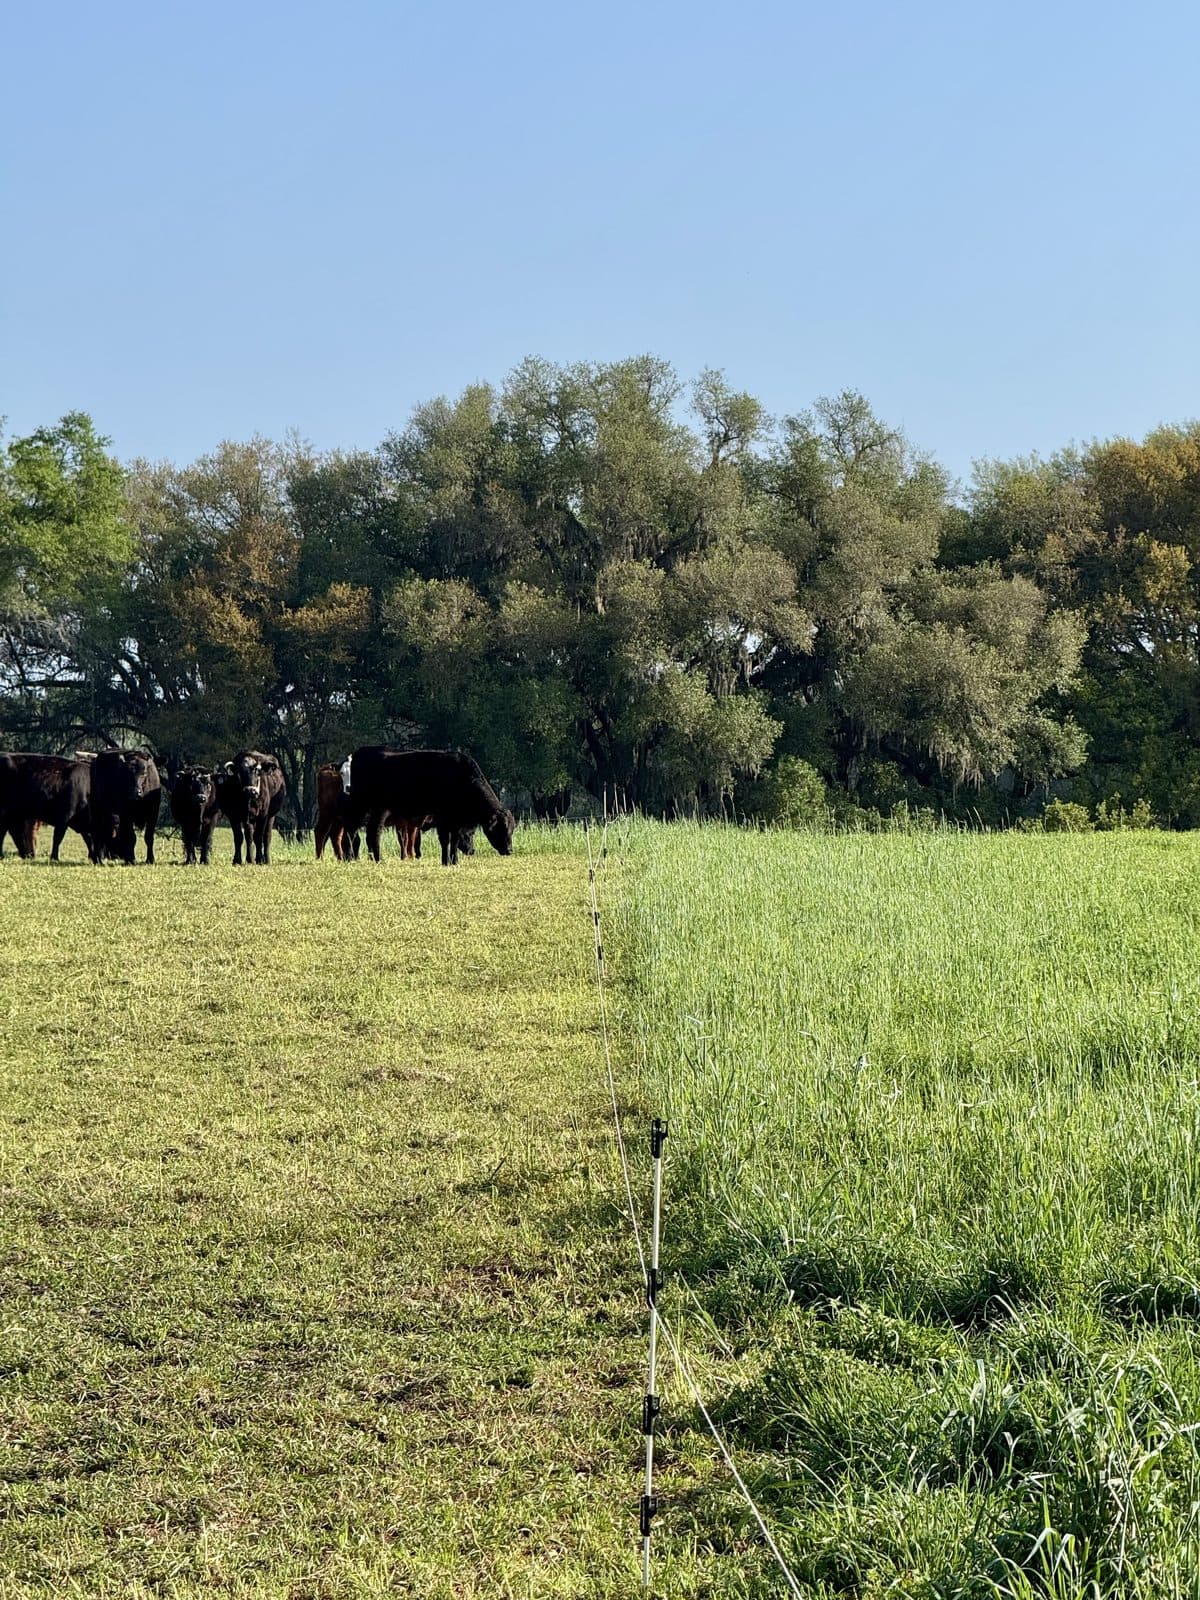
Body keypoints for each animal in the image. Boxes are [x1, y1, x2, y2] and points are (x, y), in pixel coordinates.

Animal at [342, 748, 514, 865]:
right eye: (501, 828)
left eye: (511, 829)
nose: (509, 850)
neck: (462, 778)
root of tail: (359, 754)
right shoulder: (442, 817)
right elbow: (445, 839)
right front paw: (446, 861)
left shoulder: (455, 821)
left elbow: (454, 840)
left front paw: (454, 861)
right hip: (363, 806)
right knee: (357, 831)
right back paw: (359, 858)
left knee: (367, 832)